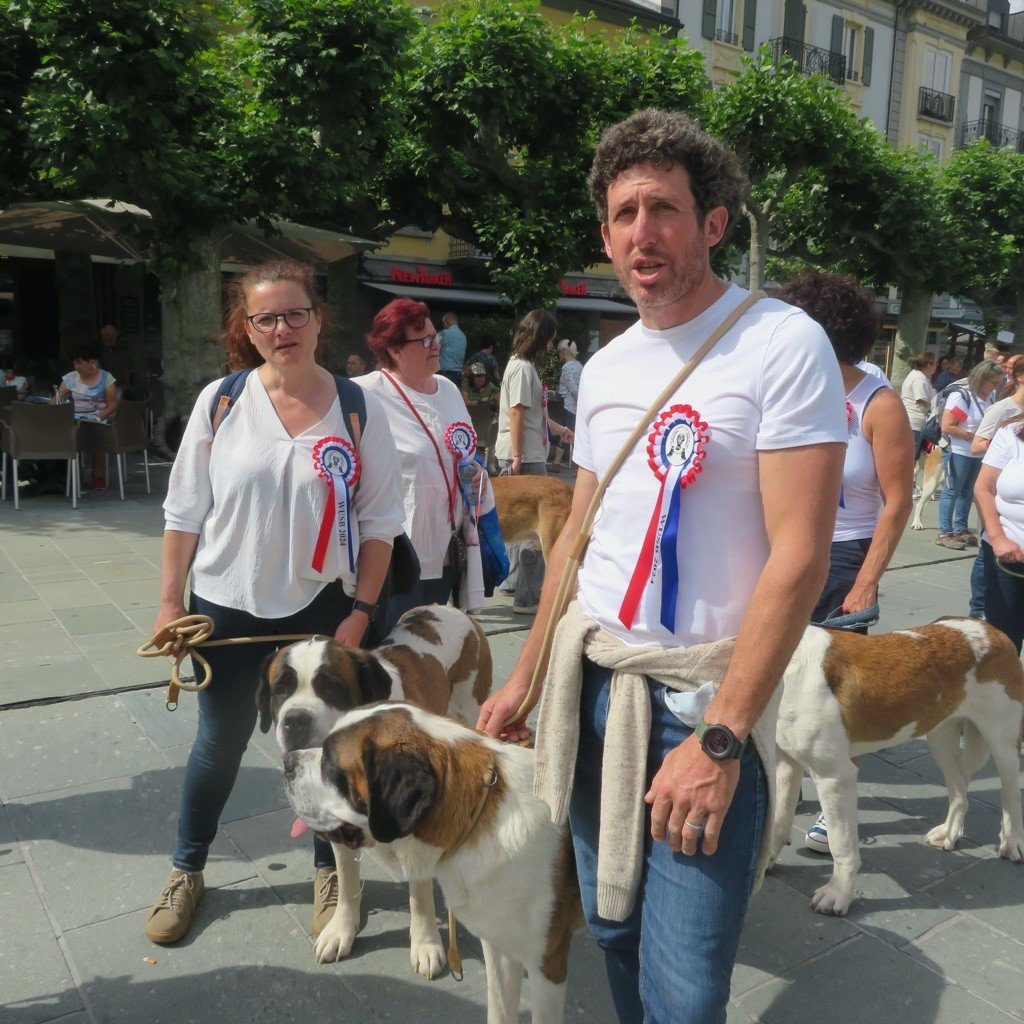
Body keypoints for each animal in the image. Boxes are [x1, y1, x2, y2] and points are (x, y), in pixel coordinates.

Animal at [258, 602, 493, 970]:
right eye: (281, 689)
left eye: (330, 687)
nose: (295, 720)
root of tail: (447, 607)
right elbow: (347, 881)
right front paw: (341, 931)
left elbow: (419, 895)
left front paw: (426, 944)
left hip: (471, 708)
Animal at [284, 700, 585, 1024]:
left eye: (330, 765)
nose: (287, 762)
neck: (476, 818)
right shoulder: (499, 944)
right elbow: (500, 1010)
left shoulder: (547, 964)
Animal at [770, 614, 1019, 921]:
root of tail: (992, 630)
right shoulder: (785, 763)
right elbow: (777, 819)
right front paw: (763, 865)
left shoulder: (834, 777)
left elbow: (842, 845)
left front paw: (838, 895)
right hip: (940, 736)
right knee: (959, 787)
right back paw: (949, 834)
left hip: (1003, 741)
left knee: (1010, 794)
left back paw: (1011, 842)